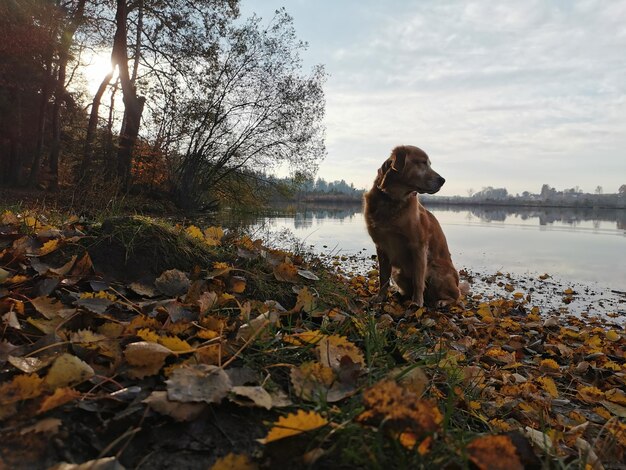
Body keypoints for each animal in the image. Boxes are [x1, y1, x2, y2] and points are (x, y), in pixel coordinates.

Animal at [364, 147, 460, 308]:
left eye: (429, 163)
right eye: (422, 163)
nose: (443, 180)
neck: (391, 199)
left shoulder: (418, 247)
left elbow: (418, 280)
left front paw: (417, 302)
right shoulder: (381, 246)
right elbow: (383, 277)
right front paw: (380, 297)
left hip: (435, 270)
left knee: (456, 296)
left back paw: (441, 301)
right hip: (398, 273)